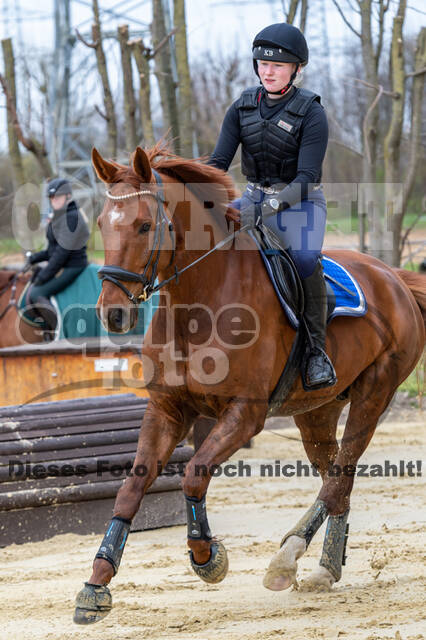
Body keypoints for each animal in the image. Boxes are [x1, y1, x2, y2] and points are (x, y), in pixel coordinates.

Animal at [73, 142, 422, 624]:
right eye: (103, 224)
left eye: (145, 225)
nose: (114, 313)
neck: (198, 306)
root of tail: (396, 278)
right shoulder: (166, 410)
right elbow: (131, 488)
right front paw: (96, 583)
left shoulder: (244, 413)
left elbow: (194, 476)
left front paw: (206, 558)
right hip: (317, 413)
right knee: (340, 481)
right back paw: (325, 568)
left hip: (375, 394)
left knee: (339, 476)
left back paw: (286, 558)